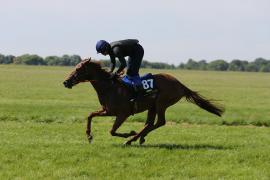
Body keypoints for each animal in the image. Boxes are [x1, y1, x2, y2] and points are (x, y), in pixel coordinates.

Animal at [62, 58, 224, 146]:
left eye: (78, 69)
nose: (66, 82)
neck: (110, 87)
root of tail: (180, 84)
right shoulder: (107, 110)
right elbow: (90, 115)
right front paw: (89, 135)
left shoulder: (123, 113)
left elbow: (112, 131)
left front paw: (129, 133)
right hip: (152, 106)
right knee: (150, 124)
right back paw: (139, 138)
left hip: (161, 103)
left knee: (159, 122)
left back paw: (132, 139)